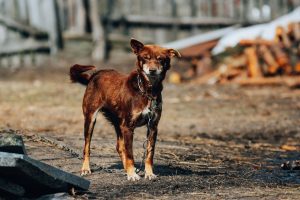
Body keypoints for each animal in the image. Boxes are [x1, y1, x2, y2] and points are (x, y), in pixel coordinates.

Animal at [69, 38, 179, 180]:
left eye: (160, 59)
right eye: (145, 57)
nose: (152, 70)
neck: (147, 91)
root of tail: (94, 76)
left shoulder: (153, 127)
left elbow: (149, 153)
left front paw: (148, 173)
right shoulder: (128, 127)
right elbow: (130, 153)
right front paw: (132, 175)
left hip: (118, 123)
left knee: (119, 147)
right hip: (91, 119)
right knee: (87, 147)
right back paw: (86, 168)